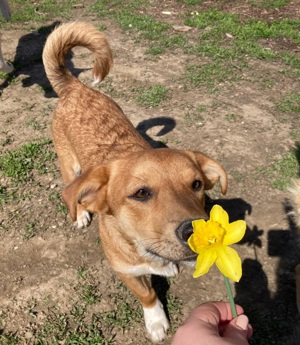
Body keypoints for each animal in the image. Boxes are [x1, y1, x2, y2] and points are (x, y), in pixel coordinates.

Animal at [42, 22, 227, 342]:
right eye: (140, 193)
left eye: (196, 185)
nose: (194, 230)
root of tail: (75, 86)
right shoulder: (126, 271)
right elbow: (147, 295)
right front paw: (156, 322)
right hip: (69, 165)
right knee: (72, 192)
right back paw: (81, 214)